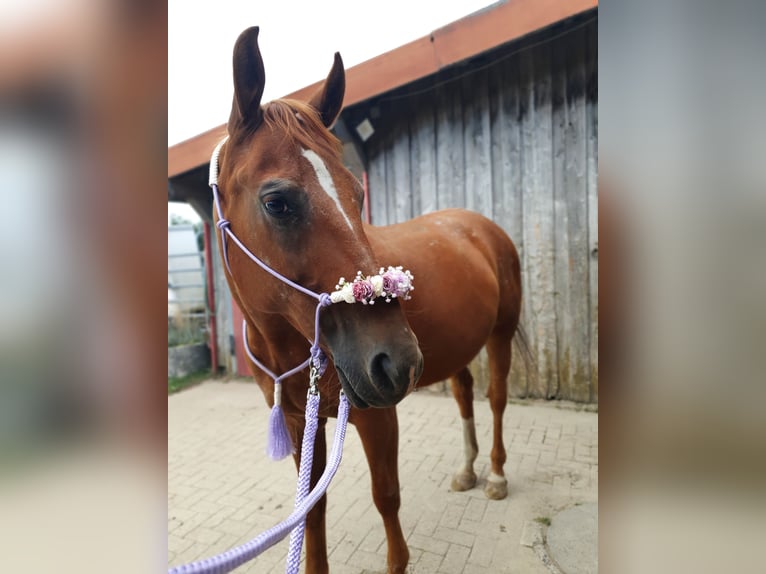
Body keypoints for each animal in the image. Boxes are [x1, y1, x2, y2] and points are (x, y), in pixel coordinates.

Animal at [214, 26, 523, 574]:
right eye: (276, 202)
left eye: (357, 195)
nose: (395, 361)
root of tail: (479, 227)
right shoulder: (300, 422)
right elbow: (310, 513)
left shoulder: (377, 416)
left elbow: (387, 497)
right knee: (465, 393)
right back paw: (467, 470)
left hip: (500, 336)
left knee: (495, 398)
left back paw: (494, 475)